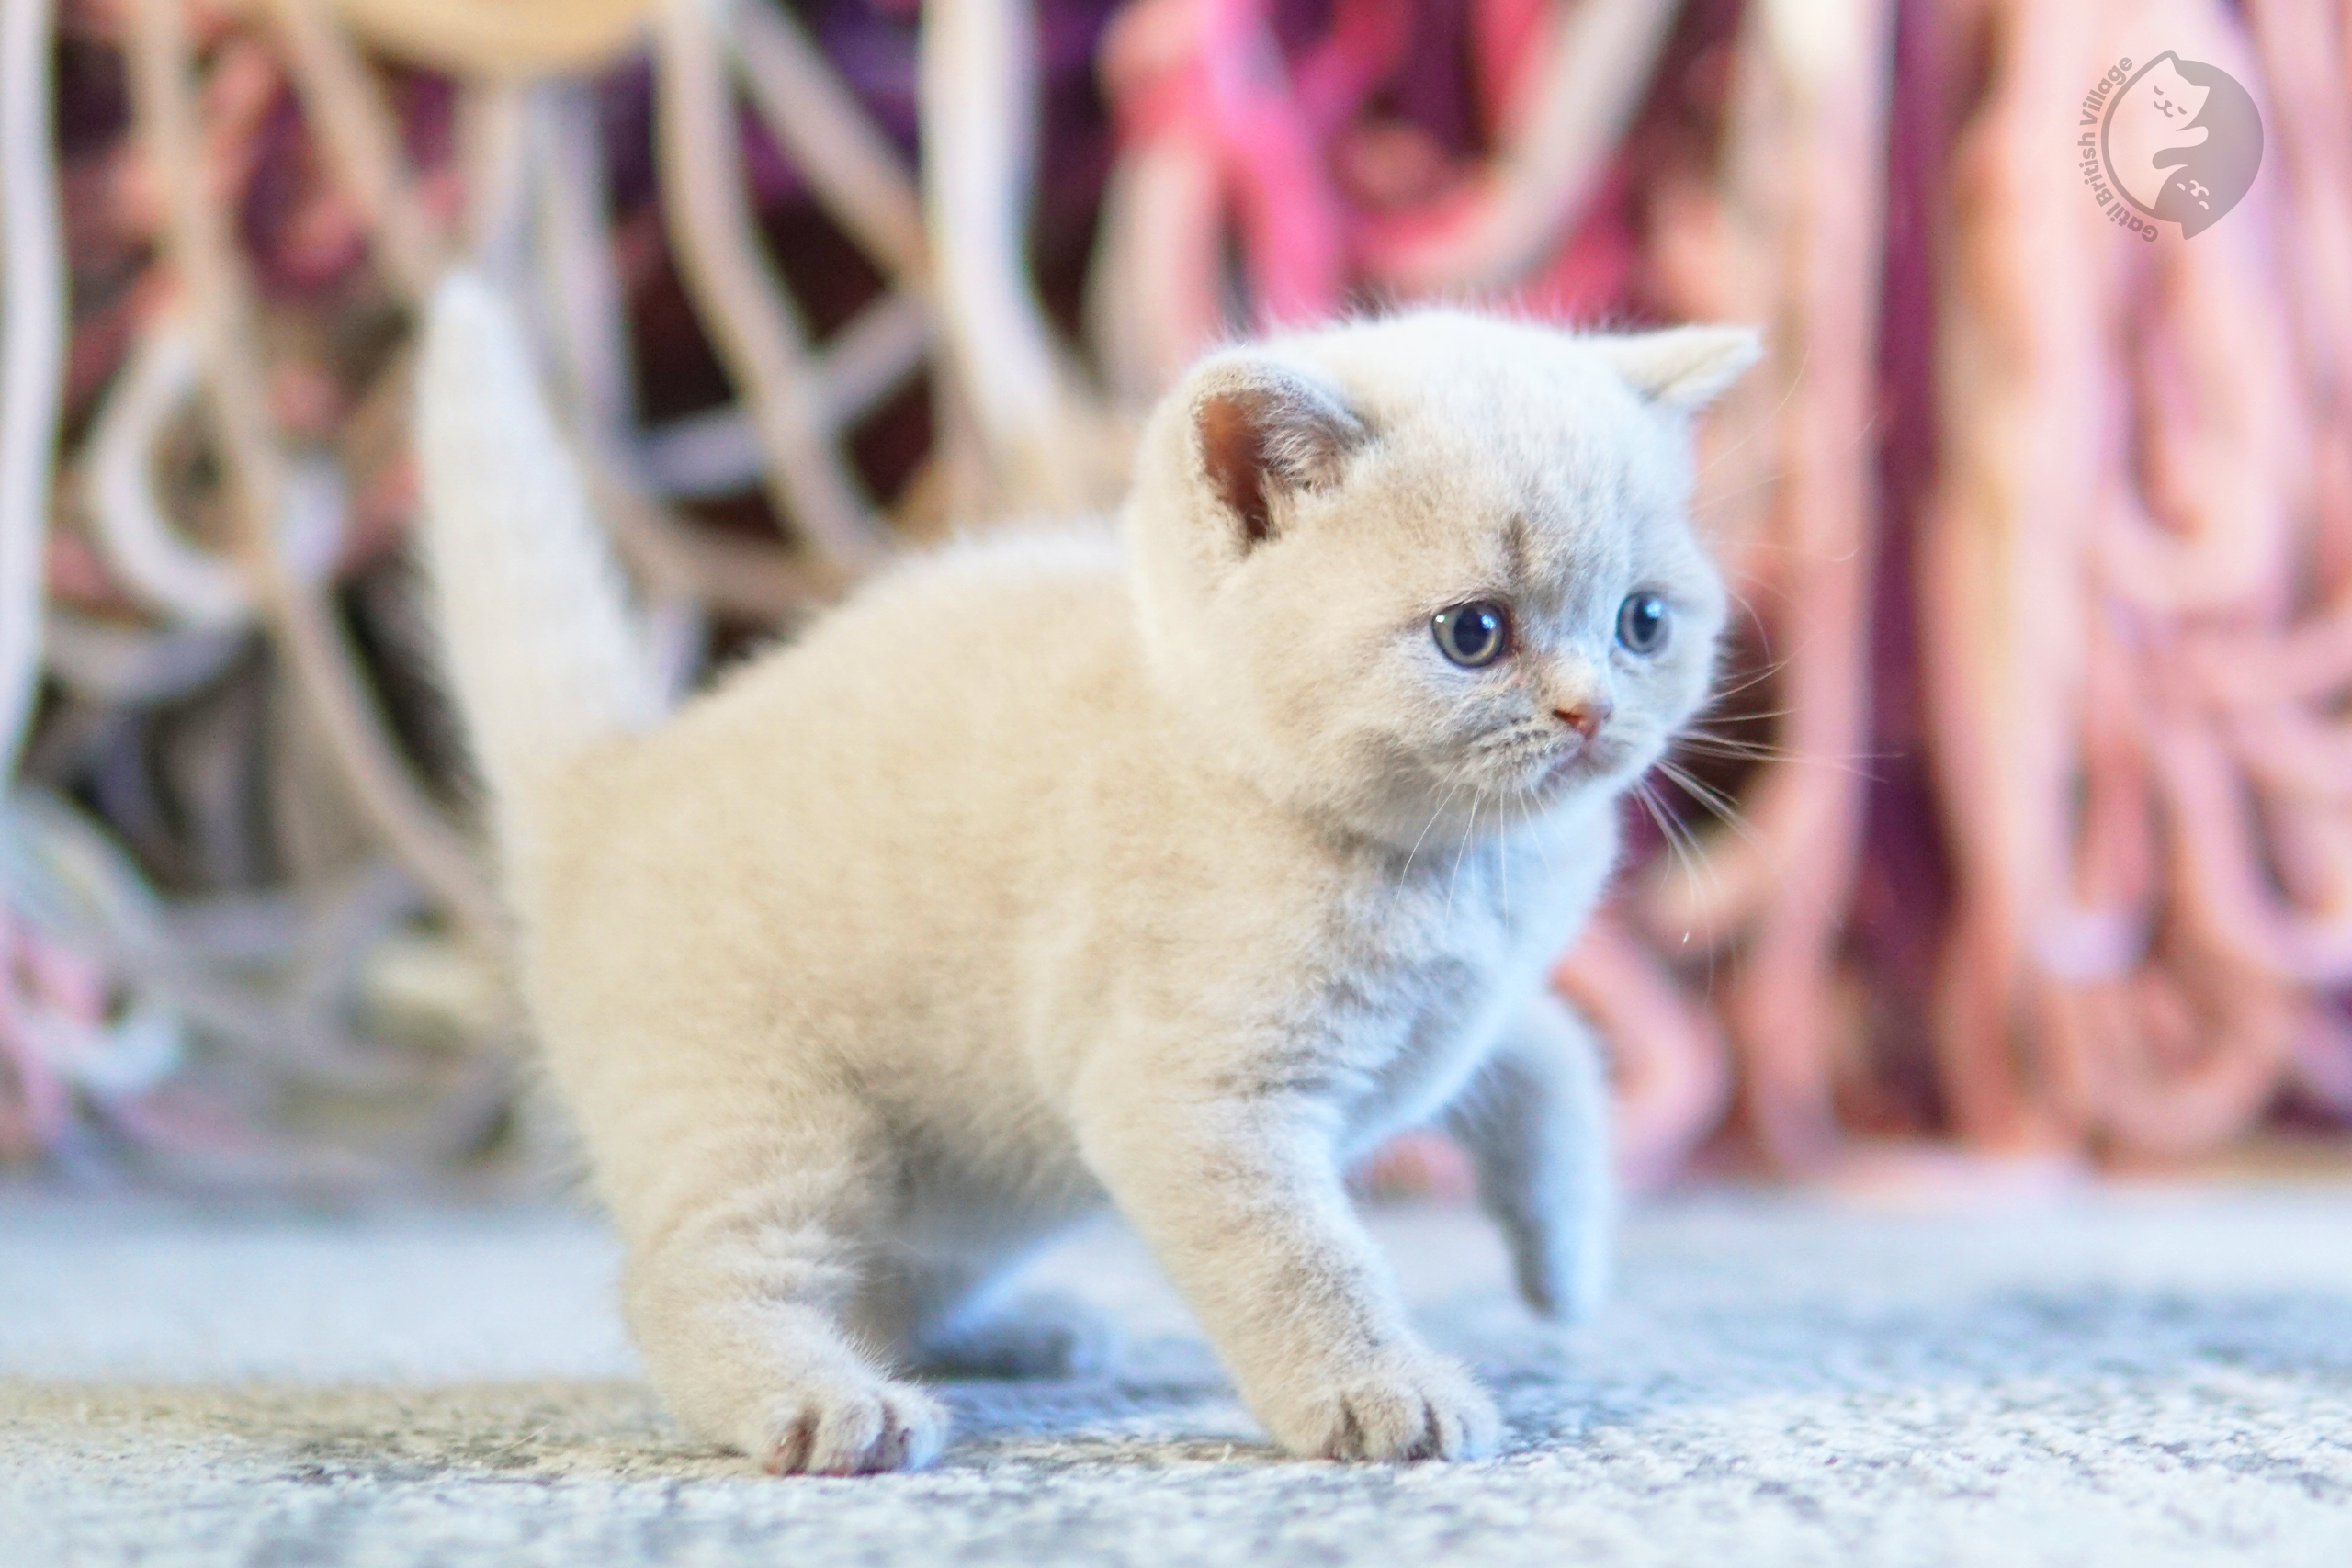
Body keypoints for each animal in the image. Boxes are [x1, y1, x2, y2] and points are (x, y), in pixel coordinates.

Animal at [413, 276, 1758, 1476]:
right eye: (1473, 633)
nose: (1590, 712)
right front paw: (1380, 1392)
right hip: (765, 1108)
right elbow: (1303, 1259)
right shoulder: (1191, 1098)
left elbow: (1552, 1054)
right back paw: (832, 1404)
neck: (1463, 878)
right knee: (689, 1277)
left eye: (1643, 621)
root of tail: (608, 786)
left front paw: (1565, 1261)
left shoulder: (1458, 1020)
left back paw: (1014, 1331)